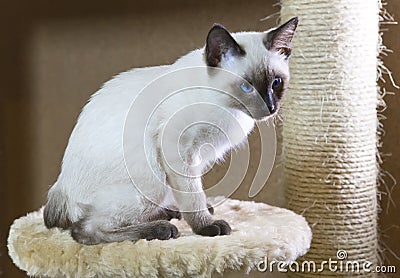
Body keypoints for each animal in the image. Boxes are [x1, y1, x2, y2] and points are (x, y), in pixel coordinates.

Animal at [44, 17, 296, 244]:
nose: (270, 108)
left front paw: (197, 213)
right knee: (85, 231)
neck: (227, 108)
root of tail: (60, 188)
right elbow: (193, 196)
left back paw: (168, 213)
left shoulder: (197, 158)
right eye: (246, 87)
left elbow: (191, 194)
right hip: (151, 183)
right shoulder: (180, 151)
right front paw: (206, 227)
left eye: (276, 83)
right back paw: (162, 229)